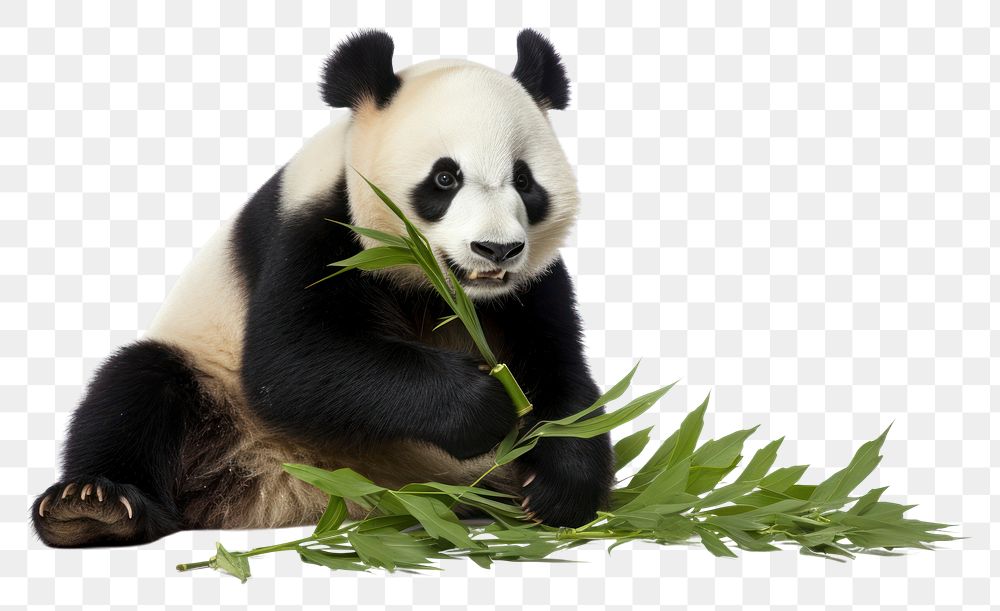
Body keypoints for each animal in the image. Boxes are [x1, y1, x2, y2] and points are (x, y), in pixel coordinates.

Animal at [31, 28, 614, 548]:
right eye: (445, 179)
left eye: (524, 181)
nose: (496, 250)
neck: (437, 289)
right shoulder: (318, 228)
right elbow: (293, 363)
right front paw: (480, 404)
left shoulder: (533, 285)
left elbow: (559, 368)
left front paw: (559, 487)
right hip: (211, 381)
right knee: (136, 387)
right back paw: (90, 510)